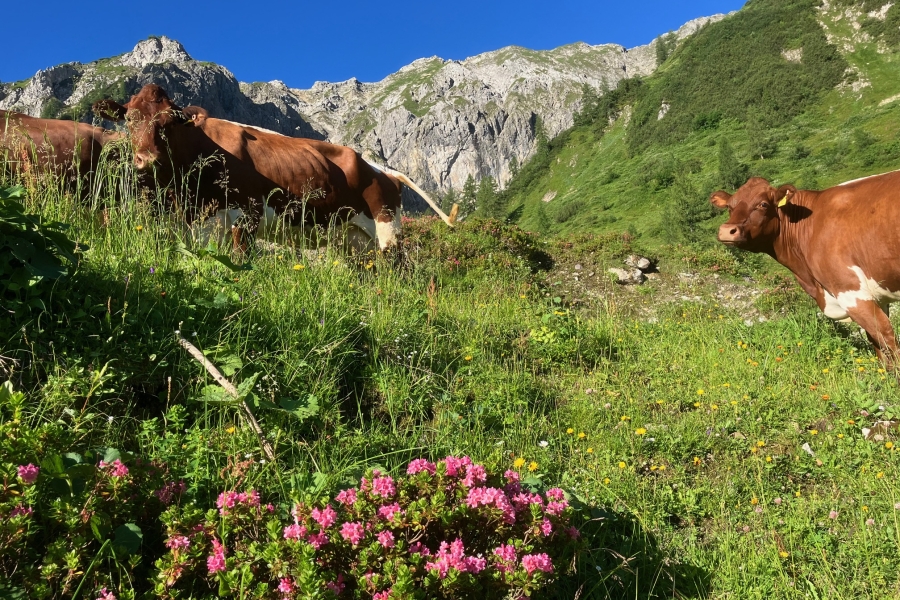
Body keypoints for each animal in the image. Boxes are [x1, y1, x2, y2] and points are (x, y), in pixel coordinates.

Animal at [95, 84, 454, 248]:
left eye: (169, 123)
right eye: (129, 119)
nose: (147, 160)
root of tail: (384, 169)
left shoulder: (247, 215)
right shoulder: (200, 223)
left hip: (386, 227)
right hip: (353, 237)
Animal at [712, 173, 900, 366]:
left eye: (763, 204)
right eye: (729, 206)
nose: (727, 230)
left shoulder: (850, 290)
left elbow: (886, 336)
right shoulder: (876, 296)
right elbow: (878, 345)